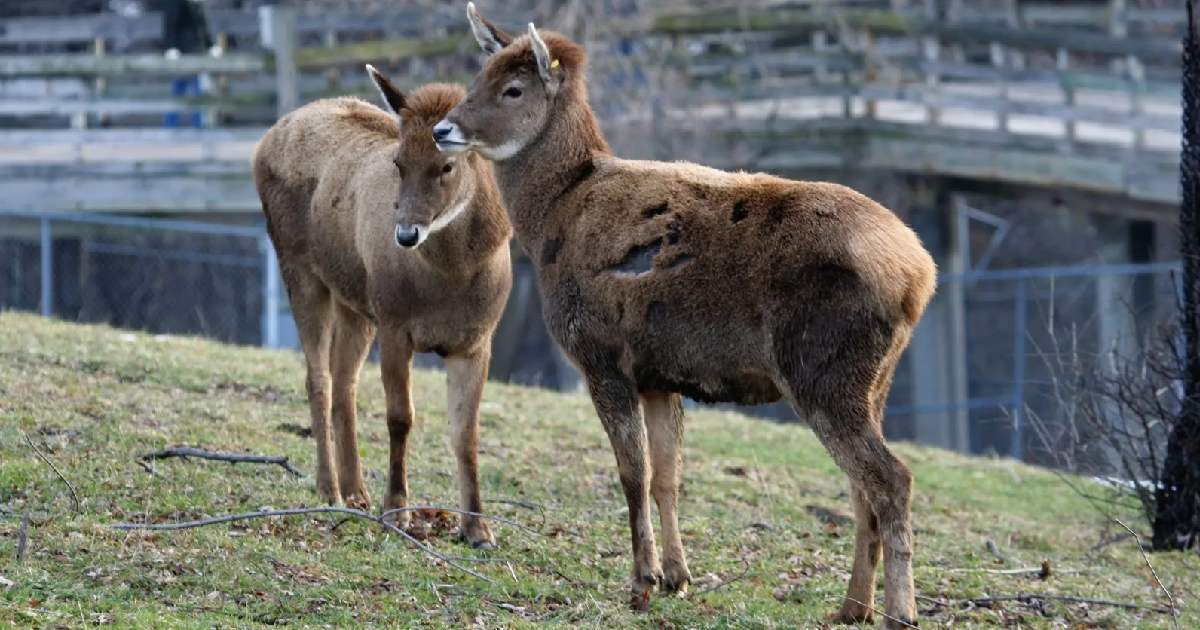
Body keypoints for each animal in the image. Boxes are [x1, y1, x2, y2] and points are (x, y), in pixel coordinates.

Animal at [250, 65, 513, 544]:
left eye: (446, 164)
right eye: (398, 162)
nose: (406, 234)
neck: (452, 279)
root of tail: (263, 142)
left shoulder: (478, 339)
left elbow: (466, 431)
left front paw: (478, 529)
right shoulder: (395, 324)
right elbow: (400, 417)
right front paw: (397, 513)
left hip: (355, 301)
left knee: (344, 382)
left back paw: (356, 492)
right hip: (297, 265)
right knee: (318, 377)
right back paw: (330, 488)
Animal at [432, 4, 936, 624]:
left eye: (513, 88)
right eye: (479, 74)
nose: (443, 129)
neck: (552, 222)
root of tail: (920, 275)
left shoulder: (601, 353)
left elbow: (632, 472)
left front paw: (641, 581)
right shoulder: (658, 373)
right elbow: (667, 475)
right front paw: (678, 576)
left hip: (825, 367)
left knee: (892, 478)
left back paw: (899, 611)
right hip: (874, 379)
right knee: (861, 485)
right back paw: (850, 607)